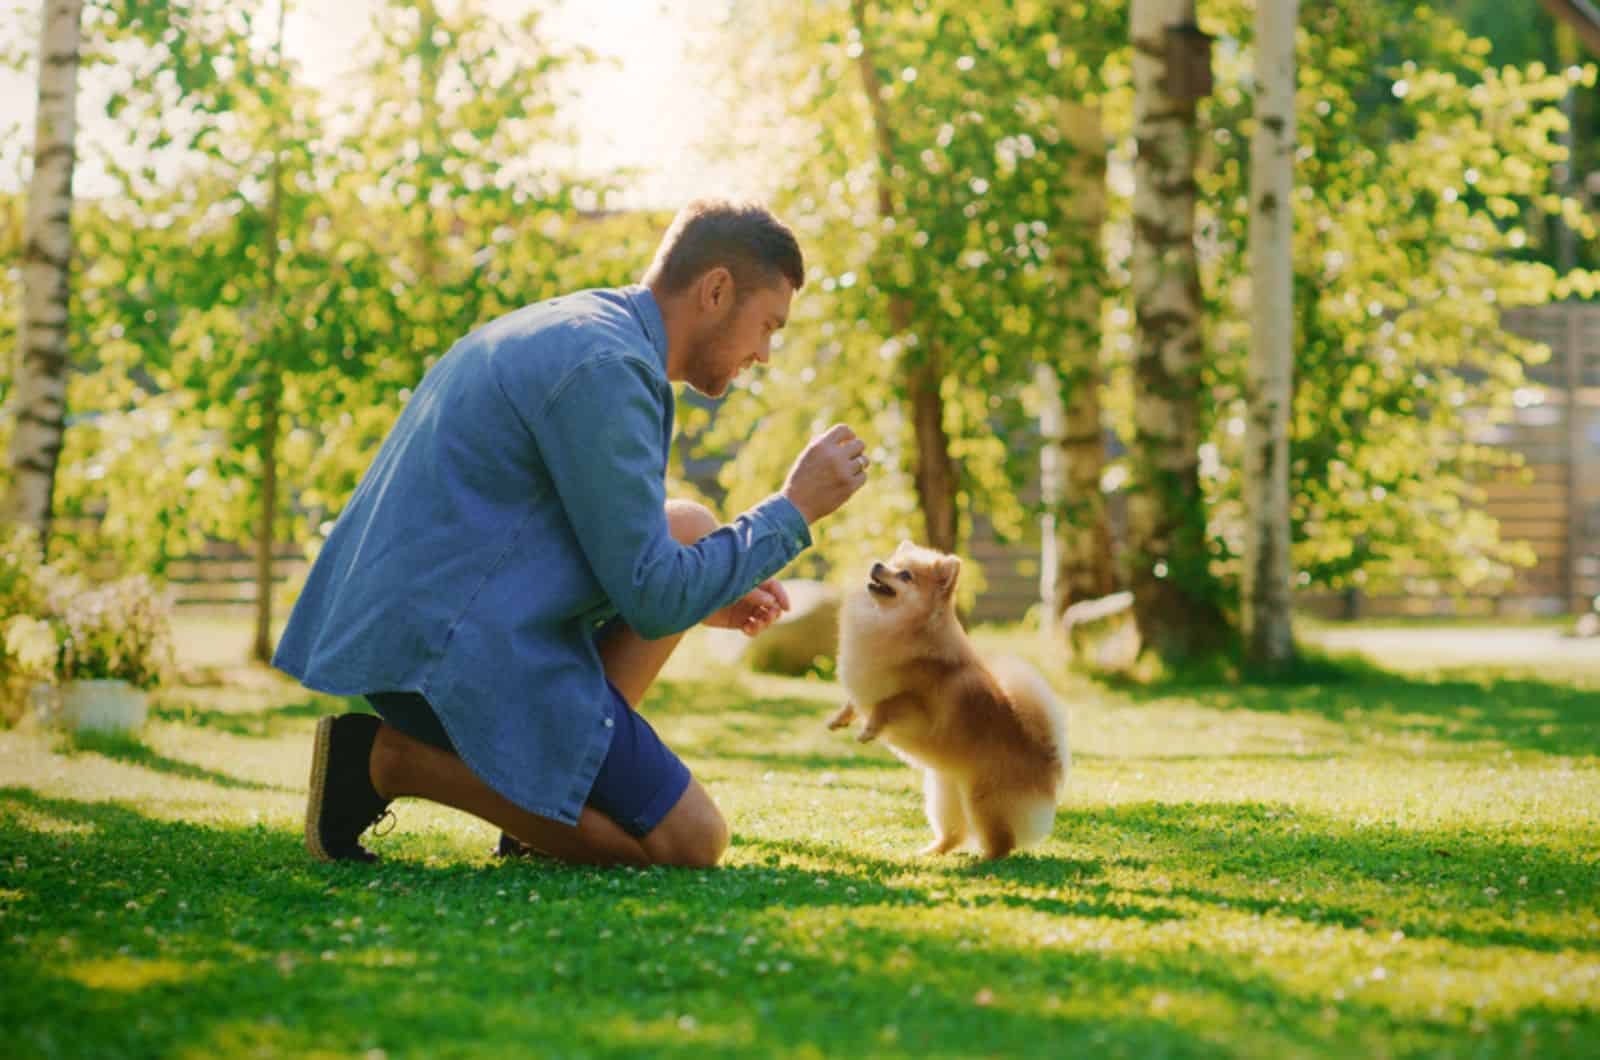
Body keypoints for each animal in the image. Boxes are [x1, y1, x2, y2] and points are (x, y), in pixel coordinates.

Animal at [825, 544, 1075, 858]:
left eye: (905, 575)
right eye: (892, 563)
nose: (877, 564)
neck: (896, 626)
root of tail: (1048, 757)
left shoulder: (918, 705)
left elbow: (889, 704)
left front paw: (869, 730)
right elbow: (854, 702)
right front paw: (839, 718)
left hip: (984, 800)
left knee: (1002, 842)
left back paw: (983, 862)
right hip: (945, 791)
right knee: (955, 834)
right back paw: (928, 853)